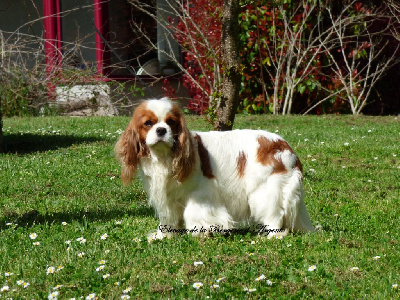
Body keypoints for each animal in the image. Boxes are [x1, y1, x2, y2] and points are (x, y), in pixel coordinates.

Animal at [114, 98, 314, 239]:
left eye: (170, 122)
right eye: (148, 123)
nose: (161, 130)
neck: (164, 157)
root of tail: (285, 147)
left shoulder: (200, 193)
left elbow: (195, 212)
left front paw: (200, 232)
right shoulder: (168, 198)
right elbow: (168, 217)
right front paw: (164, 235)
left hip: (265, 189)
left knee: (275, 213)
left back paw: (272, 235)